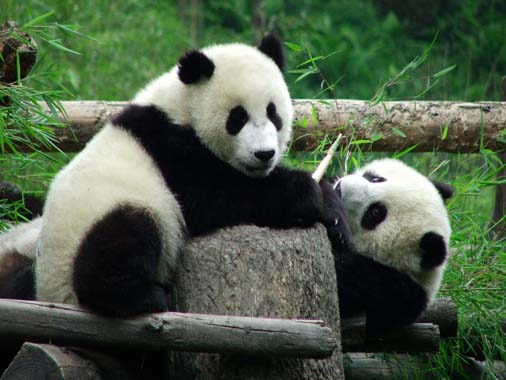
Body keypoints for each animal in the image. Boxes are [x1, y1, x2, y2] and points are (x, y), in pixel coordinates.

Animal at [31, 35, 344, 318]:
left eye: (273, 113)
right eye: (237, 117)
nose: (264, 154)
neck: (182, 108)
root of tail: (51, 295)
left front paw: (332, 211)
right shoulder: (171, 149)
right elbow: (215, 197)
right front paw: (305, 192)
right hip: (101, 215)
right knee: (123, 238)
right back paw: (147, 296)